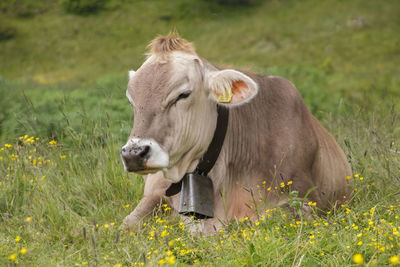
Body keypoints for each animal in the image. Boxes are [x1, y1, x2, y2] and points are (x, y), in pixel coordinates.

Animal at [120, 34, 352, 234]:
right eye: (132, 100)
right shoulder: (154, 195)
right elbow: (125, 226)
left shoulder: (304, 199)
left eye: (183, 94)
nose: (133, 154)